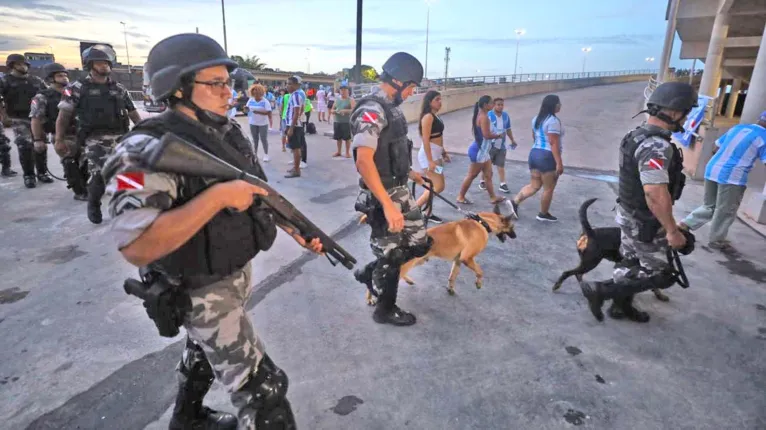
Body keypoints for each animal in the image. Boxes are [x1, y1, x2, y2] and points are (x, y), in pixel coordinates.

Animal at [364, 205, 520, 302]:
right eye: (512, 227)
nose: (515, 237)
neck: (483, 222)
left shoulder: (458, 261)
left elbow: (452, 276)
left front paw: (450, 289)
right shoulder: (467, 258)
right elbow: (480, 271)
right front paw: (478, 283)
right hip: (407, 264)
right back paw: (372, 298)